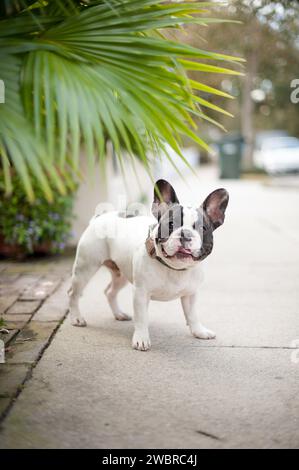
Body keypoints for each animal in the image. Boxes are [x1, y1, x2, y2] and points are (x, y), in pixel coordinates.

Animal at [69, 179, 230, 348]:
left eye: (202, 228)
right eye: (170, 225)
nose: (185, 234)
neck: (174, 268)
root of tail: (100, 217)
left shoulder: (190, 294)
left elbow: (192, 315)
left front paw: (199, 331)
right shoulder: (141, 293)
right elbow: (142, 319)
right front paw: (141, 338)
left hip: (121, 273)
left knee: (110, 292)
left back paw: (119, 314)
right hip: (85, 268)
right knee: (73, 293)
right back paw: (76, 318)